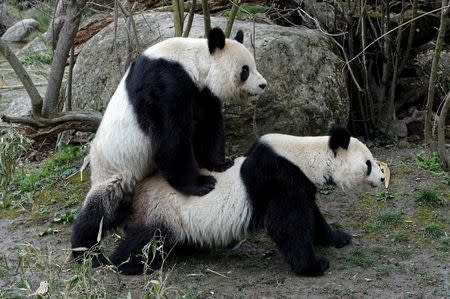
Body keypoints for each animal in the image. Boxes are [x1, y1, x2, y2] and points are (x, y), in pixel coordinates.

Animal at [71, 28, 268, 262]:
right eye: (245, 70)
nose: (263, 85)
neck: (192, 59)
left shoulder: (202, 93)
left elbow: (208, 124)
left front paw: (220, 163)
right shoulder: (164, 84)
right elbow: (171, 139)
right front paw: (201, 184)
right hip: (115, 170)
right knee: (100, 209)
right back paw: (85, 250)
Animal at [94, 126, 384, 276]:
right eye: (368, 164)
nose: (382, 178)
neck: (306, 157)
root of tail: (139, 191)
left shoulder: (299, 184)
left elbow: (313, 215)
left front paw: (338, 238)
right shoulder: (279, 178)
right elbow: (287, 225)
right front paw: (313, 266)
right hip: (163, 210)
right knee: (146, 238)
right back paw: (127, 264)